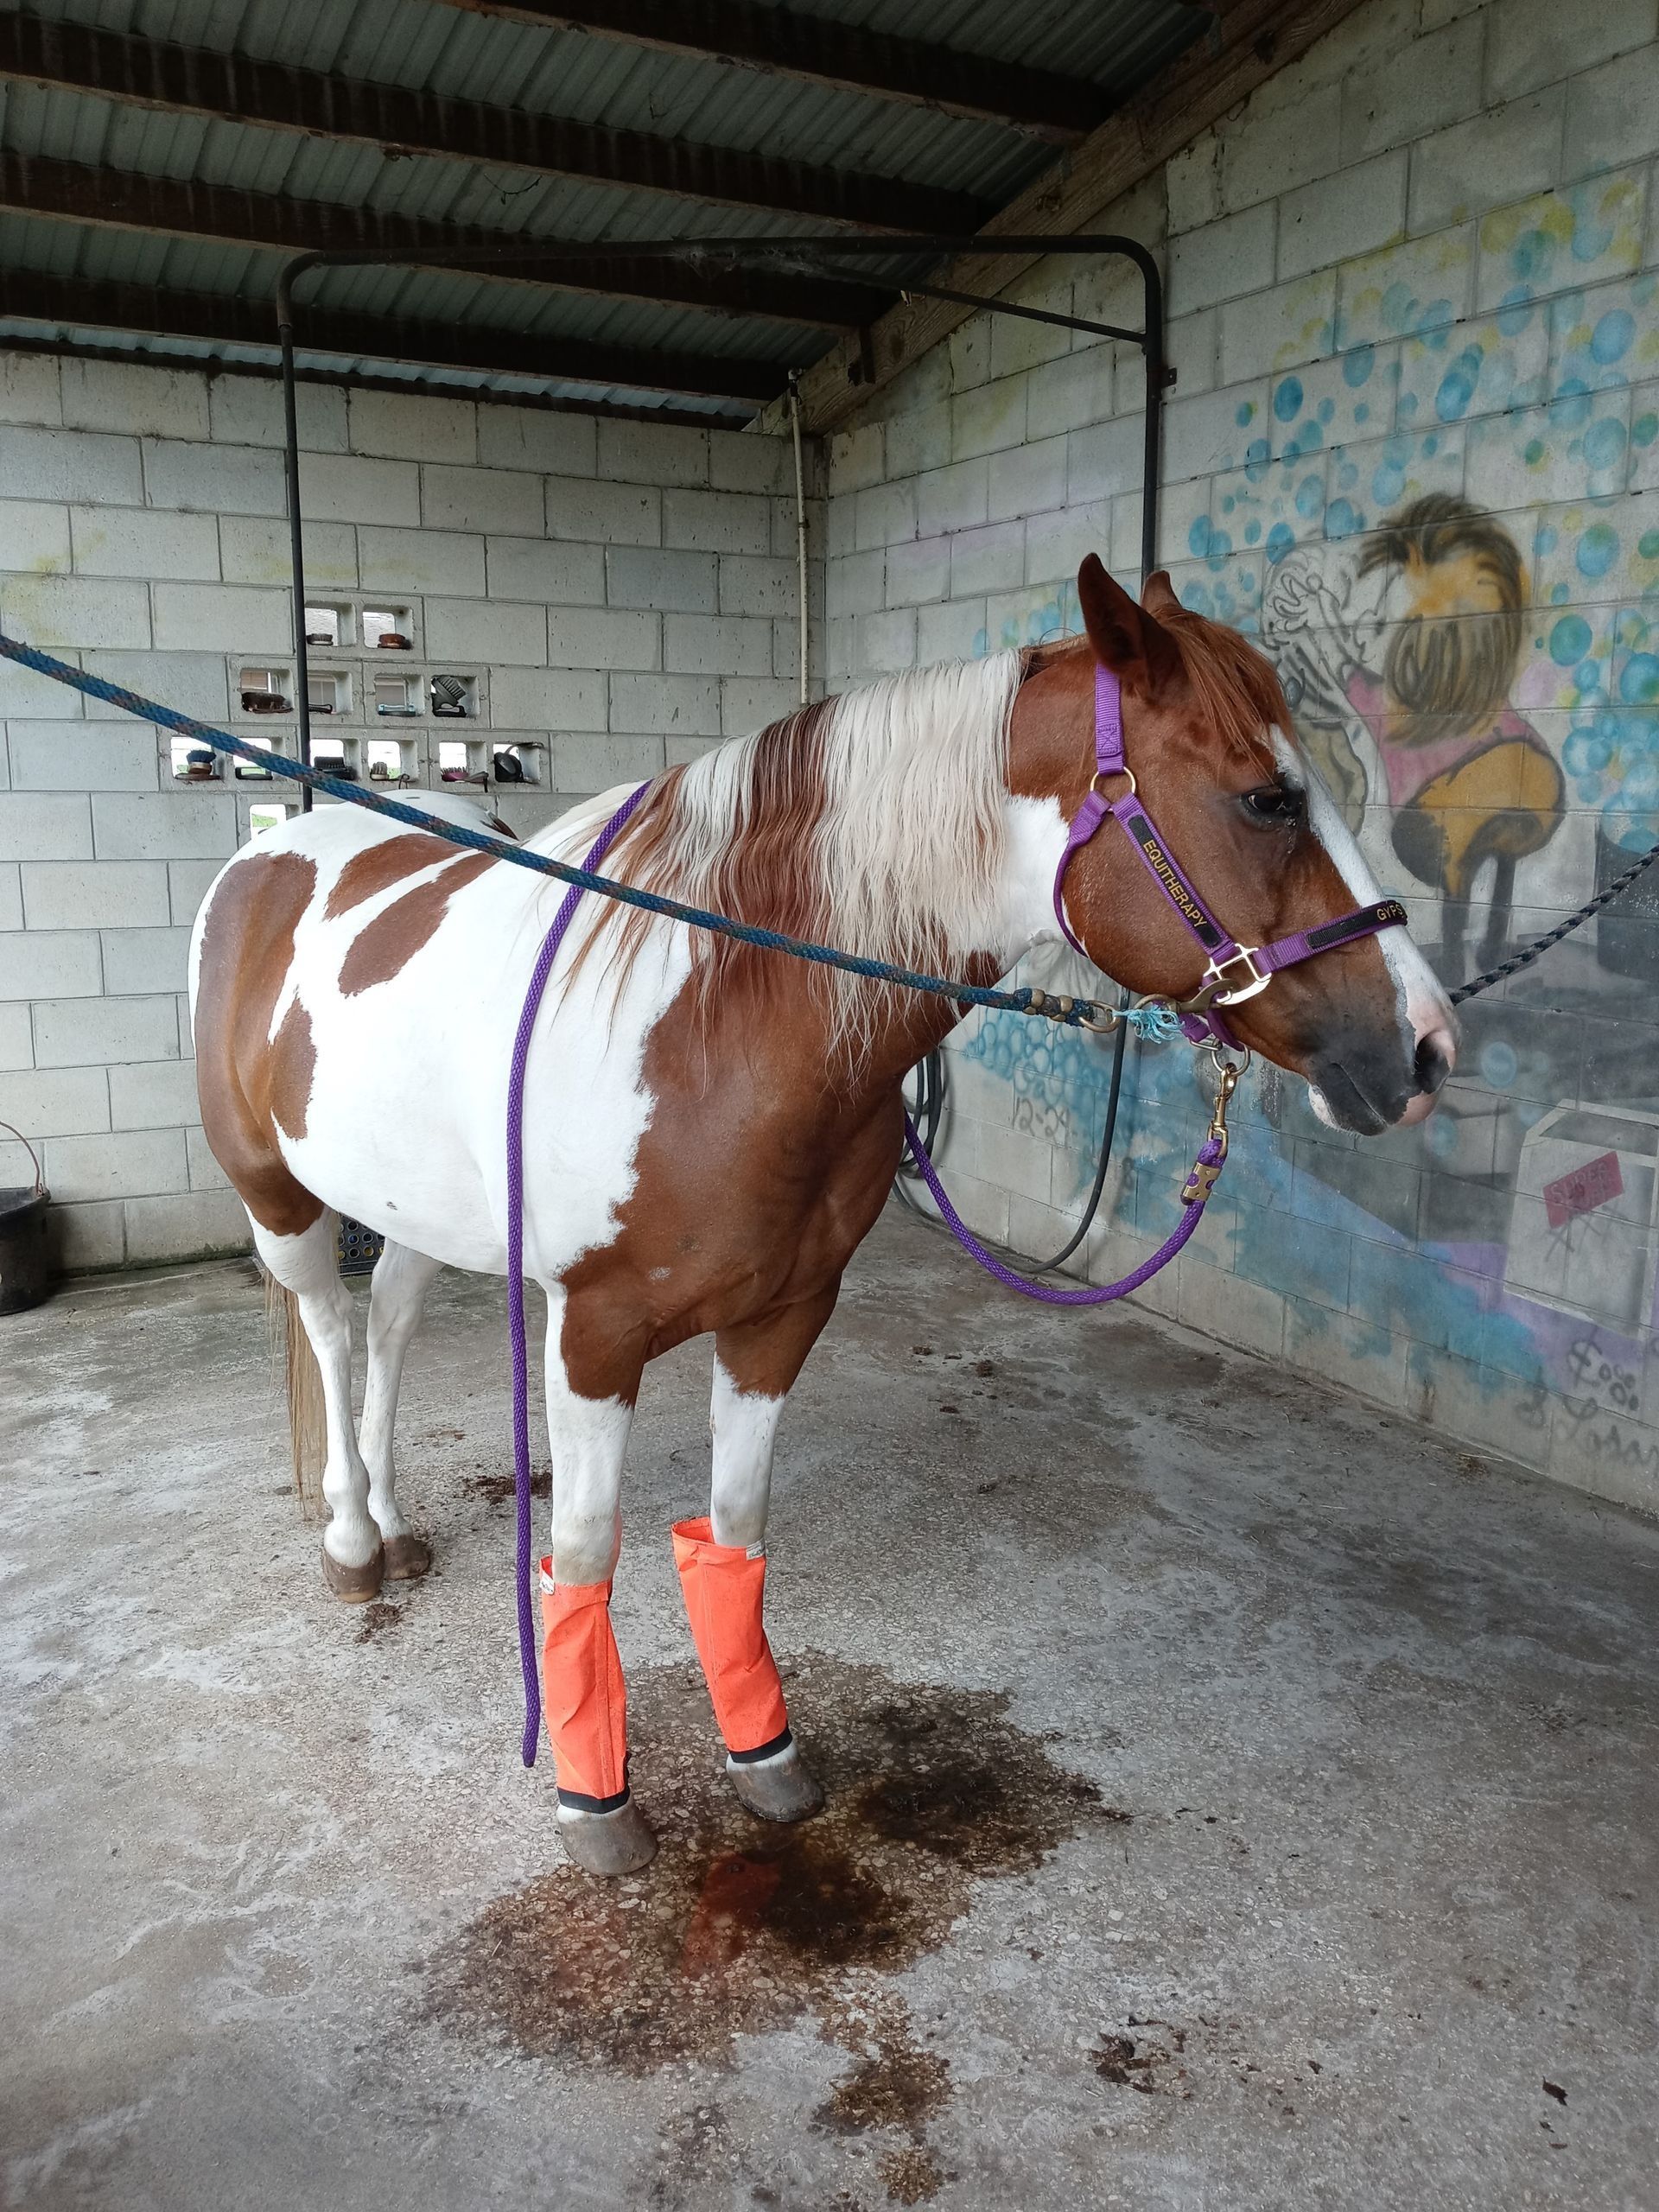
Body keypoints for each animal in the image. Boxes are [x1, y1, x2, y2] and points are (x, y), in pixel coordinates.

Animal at [188, 557, 1456, 1876]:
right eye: (1265, 799)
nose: (1425, 1048)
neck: (715, 1017)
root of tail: (277, 851)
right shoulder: (592, 1335)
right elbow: (581, 1552)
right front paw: (596, 1801)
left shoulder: (782, 1317)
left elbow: (734, 1530)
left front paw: (764, 1755)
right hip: (278, 1199)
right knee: (332, 1332)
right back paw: (353, 1543)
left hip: (415, 1211)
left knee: (384, 1328)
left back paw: (391, 1521)